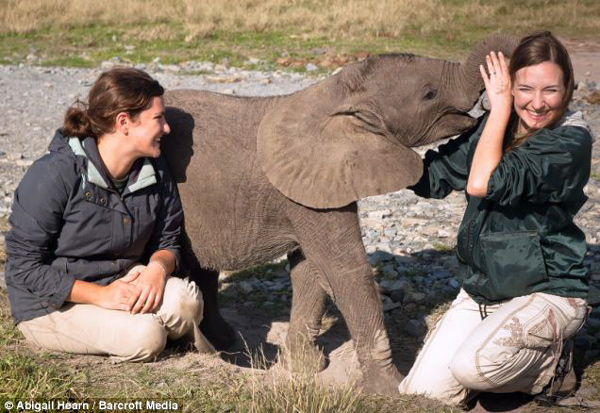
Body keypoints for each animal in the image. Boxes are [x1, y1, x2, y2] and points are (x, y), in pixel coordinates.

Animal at [162, 34, 516, 392]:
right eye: (429, 93)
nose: (489, 103)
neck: (337, 94)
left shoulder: (319, 186)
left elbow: (309, 269)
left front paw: (303, 368)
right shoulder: (308, 189)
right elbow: (345, 269)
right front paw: (389, 389)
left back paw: (226, 344)